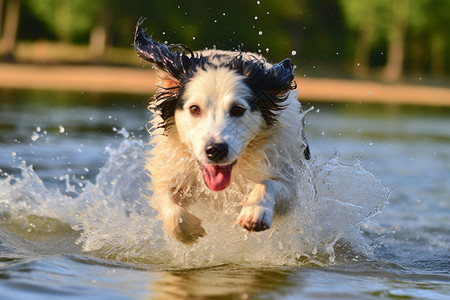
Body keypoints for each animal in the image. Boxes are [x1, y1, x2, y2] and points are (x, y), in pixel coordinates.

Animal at [133, 19, 310, 244]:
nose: (215, 150)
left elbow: (270, 184)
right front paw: (188, 229)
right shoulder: (172, 168)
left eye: (238, 109)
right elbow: (167, 200)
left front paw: (255, 211)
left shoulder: (284, 169)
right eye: (195, 109)